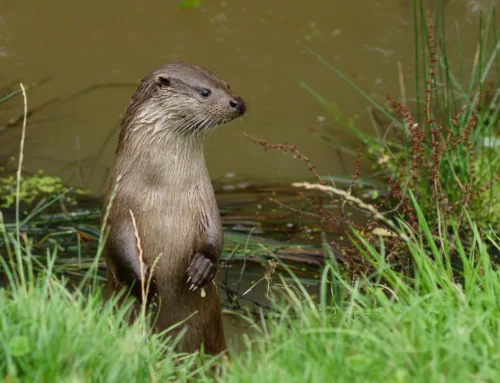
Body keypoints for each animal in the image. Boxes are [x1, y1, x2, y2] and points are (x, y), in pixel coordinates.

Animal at [102, 61, 247, 356]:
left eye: (226, 84)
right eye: (205, 91)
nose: (238, 102)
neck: (165, 188)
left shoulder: (205, 200)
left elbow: (216, 234)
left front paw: (202, 268)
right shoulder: (118, 206)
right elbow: (118, 245)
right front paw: (146, 286)